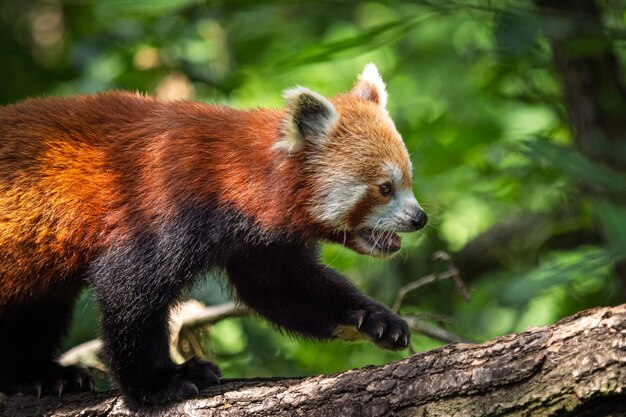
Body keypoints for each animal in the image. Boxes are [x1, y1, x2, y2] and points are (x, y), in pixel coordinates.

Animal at [0, 64, 424, 404]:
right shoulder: (163, 204)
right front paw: (159, 384)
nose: (419, 218)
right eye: (385, 188)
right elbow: (128, 291)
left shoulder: (258, 242)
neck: (233, 174)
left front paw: (373, 319)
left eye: (408, 181)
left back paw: (39, 375)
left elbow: (284, 287)